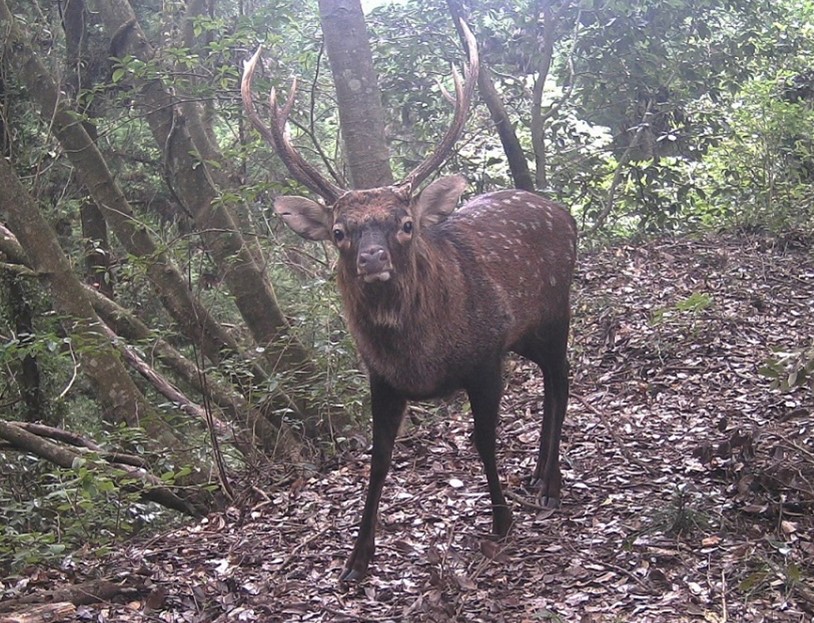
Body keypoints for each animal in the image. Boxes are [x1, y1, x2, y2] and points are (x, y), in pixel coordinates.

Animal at [242, 23, 580, 580]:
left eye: (404, 224)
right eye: (339, 232)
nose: (371, 257)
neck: (423, 362)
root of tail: (564, 212)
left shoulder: (484, 358)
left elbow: (484, 439)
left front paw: (501, 520)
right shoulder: (381, 380)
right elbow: (378, 458)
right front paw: (357, 559)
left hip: (555, 308)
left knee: (562, 375)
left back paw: (549, 484)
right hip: (525, 333)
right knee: (553, 375)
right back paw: (536, 475)